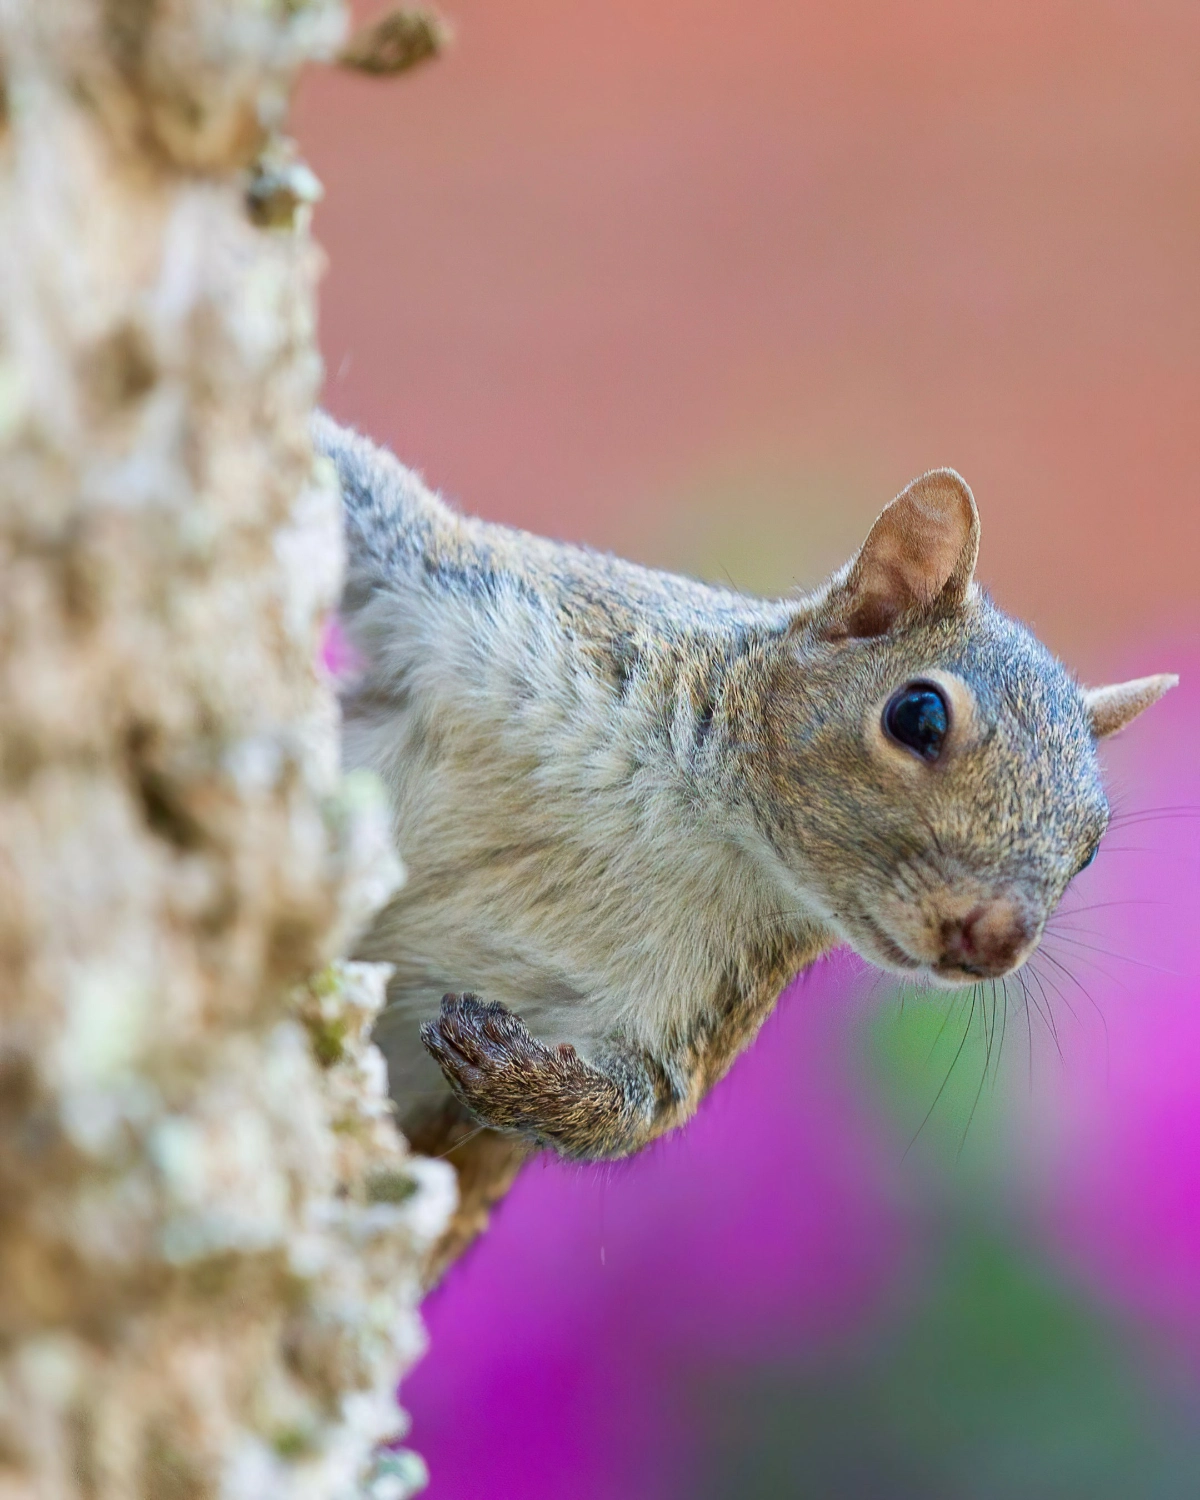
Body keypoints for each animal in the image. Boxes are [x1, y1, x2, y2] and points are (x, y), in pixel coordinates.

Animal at [313, 417, 1176, 1284]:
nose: (996, 940)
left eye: (1091, 847)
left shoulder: (699, 999)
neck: (699, 816)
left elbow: (643, 1105)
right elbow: (376, 509)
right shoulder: (488, 604)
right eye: (919, 716)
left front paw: (520, 1074)